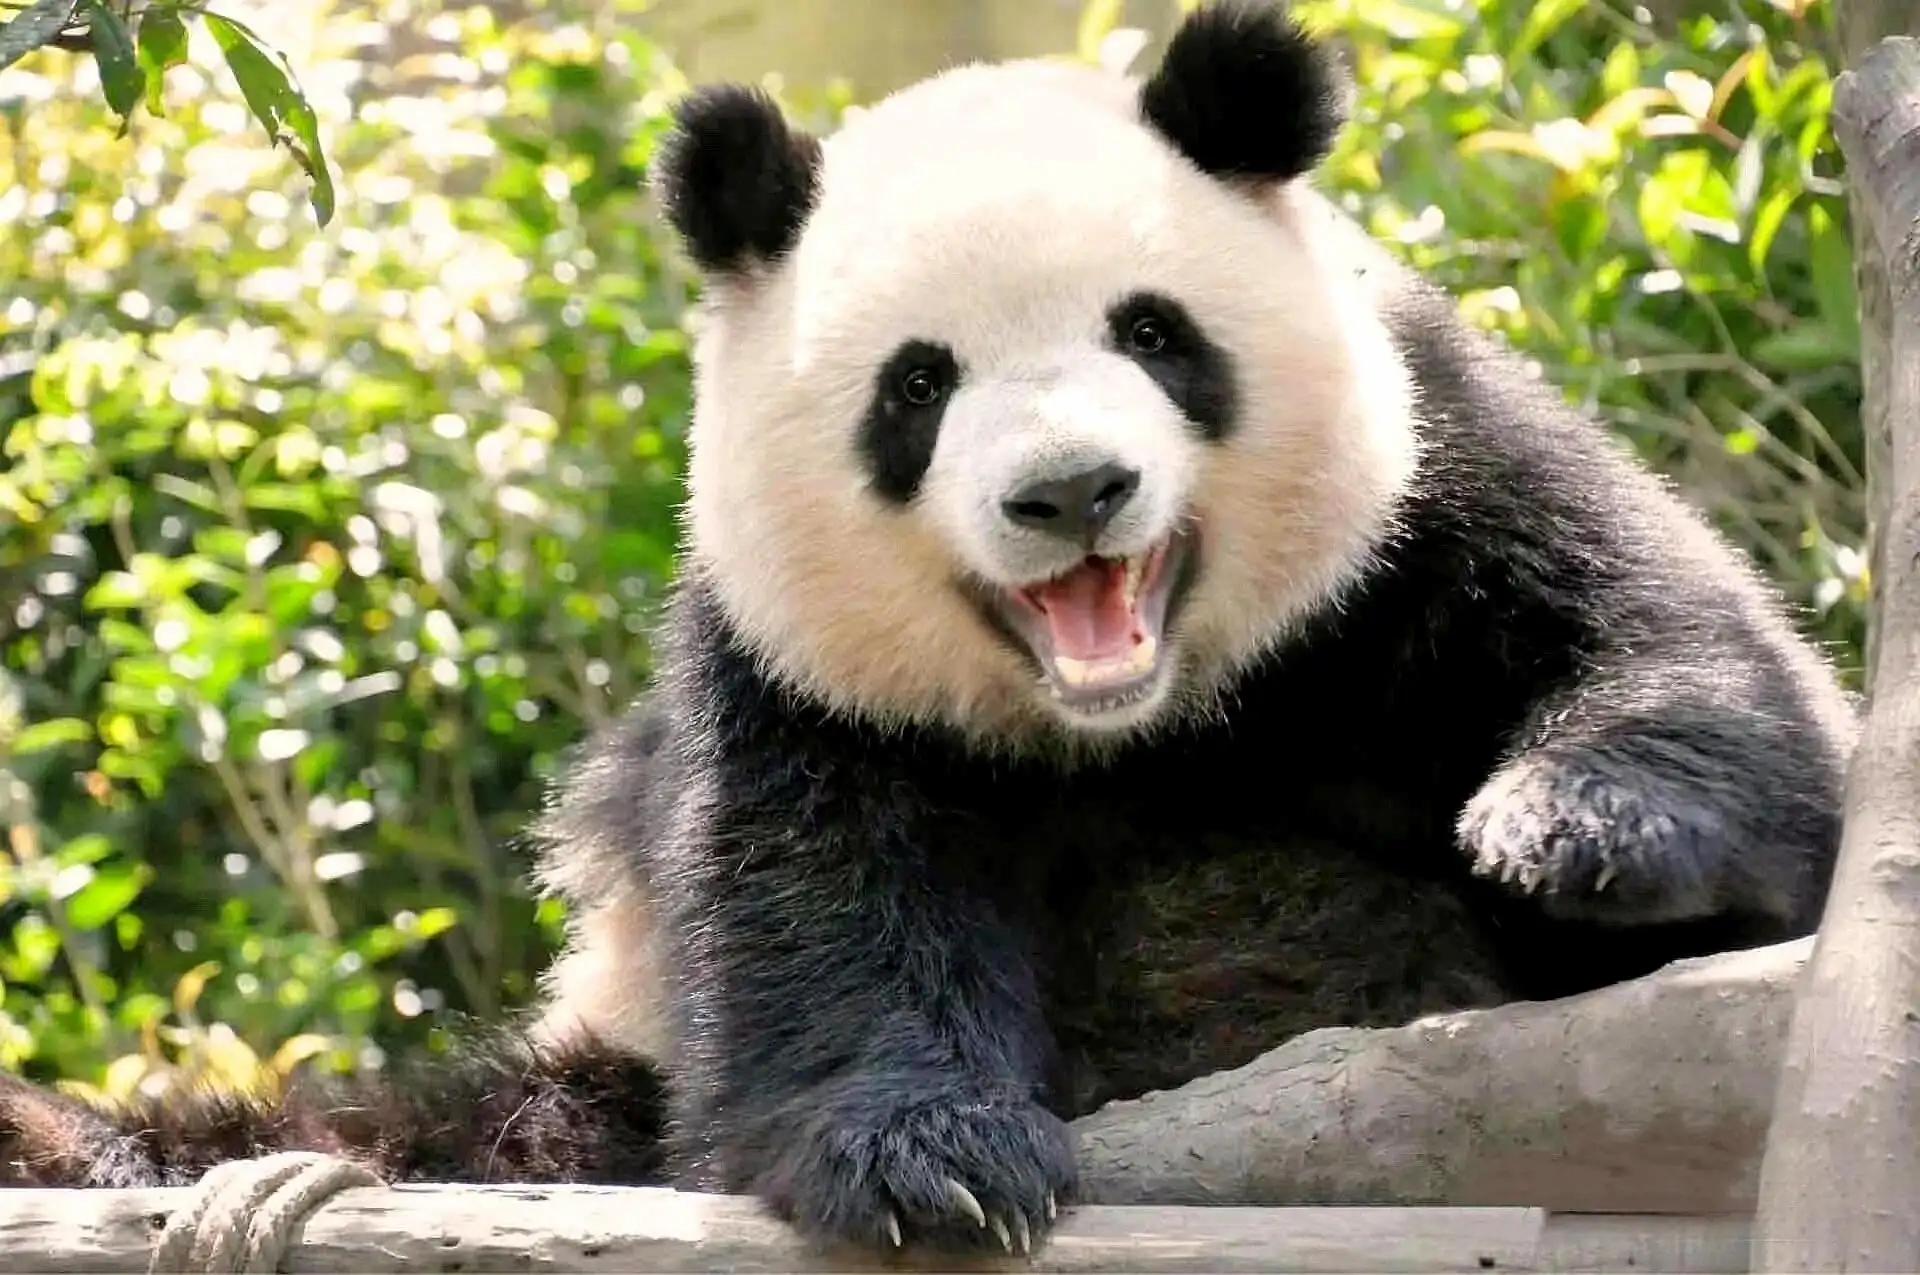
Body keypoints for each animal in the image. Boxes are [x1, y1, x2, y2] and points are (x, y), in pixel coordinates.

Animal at [0, 0, 1859, 1260]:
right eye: (917, 386)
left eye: (1154, 332)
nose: (1072, 491)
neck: (1144, 717)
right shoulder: (785, 668)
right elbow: (819, 911)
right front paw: (934, 1157)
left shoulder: (1433, 486)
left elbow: (1694, 662)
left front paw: (1581, 826)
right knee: (457, 1124)